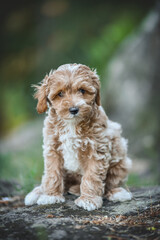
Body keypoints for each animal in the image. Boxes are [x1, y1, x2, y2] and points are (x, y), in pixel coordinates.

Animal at [24, 63, 132, 210]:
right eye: (60, 94)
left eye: (82, 90)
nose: (74, 109)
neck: (72, 124)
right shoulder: (52, 148)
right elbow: (52, 174)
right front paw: (50, 195)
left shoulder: (97, 150)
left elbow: (91, 176)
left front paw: (89, 199)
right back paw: (37, 193)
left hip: (121, 157)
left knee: (112, 181)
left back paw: (116, 192)